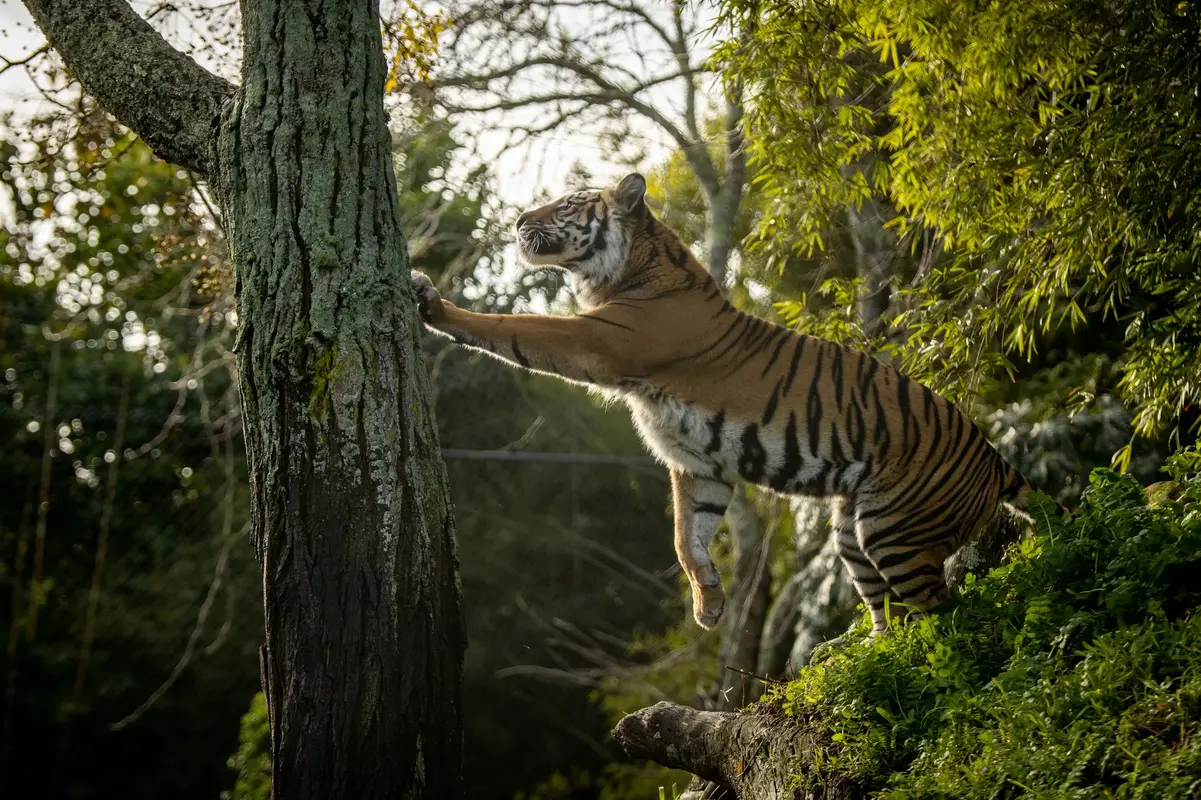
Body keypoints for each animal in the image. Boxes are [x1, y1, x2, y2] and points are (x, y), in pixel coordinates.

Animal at [408, 171, 1056, 634]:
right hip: (854, 530)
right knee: (890, 609)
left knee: (947, 614)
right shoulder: (698, 463)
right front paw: (709, 605)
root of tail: (991, 454)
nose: (519, 218)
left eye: (569, 203)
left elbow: (513, 328)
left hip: (896, 529)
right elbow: (685, 536)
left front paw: (432, 301)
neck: (626, 269)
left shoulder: (600, 342)